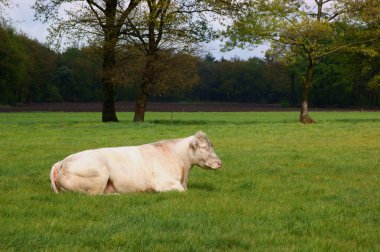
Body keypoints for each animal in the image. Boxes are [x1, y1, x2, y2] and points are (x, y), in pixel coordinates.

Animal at [50, 132, 223, 195]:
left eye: (212, 145)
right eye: (204, 147)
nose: (219, 163)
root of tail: (63, 162)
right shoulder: (164, 183)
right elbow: (182, 191)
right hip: (99, 176)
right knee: (94, 195)